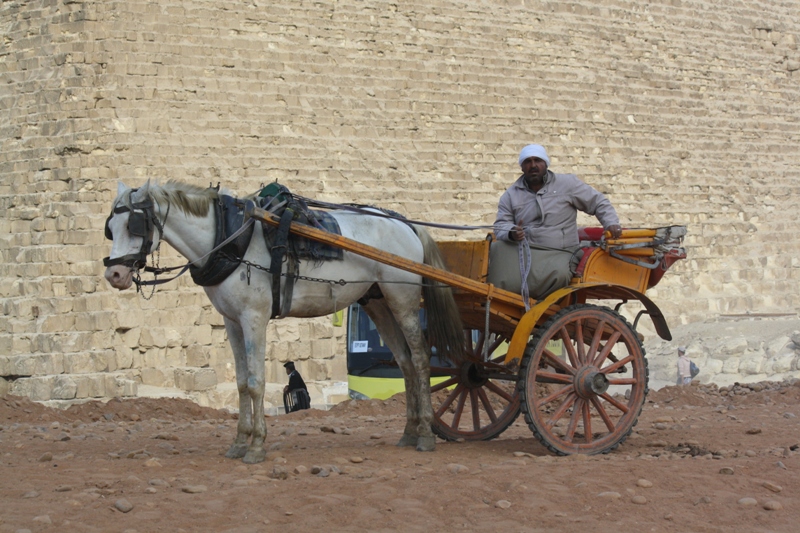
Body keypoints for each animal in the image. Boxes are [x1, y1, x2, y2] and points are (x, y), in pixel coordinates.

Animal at [103, 179, 466, 462]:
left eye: (135, 224)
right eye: (110, 229)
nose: (114, 274)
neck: (230, 236)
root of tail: (404, 222)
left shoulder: (254, 317)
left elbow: (256, 382)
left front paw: (256, 446)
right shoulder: (232, 322)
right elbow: (240, 382)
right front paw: (239, 442)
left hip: (402, 299)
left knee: (419, 358)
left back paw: (426, 434)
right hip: (377, 303)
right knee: (404, 362)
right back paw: (409, 431)